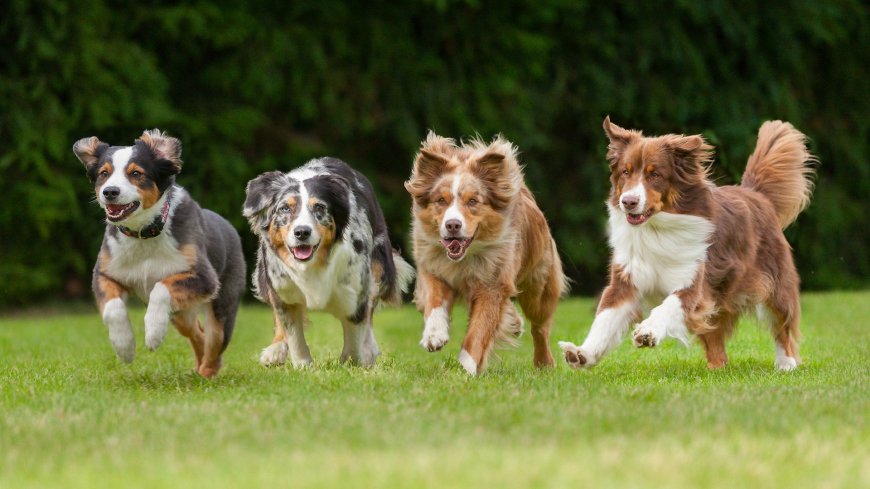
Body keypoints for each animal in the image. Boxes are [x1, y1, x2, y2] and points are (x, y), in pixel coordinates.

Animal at [73, 127, 247, 376]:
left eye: (136, 173)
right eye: (104, 173)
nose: (110, 192)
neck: (144, 234)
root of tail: (230, 227)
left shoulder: (204, 278)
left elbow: (160, 288)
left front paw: (153, 334)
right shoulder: (105, 273)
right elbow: (113, 308)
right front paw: (125, 347)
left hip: (223, 303)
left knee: (215, 342)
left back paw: (206, 373)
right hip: (181, 314)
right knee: (198, 332)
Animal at [242, 156, 412, 366]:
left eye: (320, 208)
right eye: (284, 208)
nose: (302, 232)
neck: (313, 264)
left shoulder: (356, 289)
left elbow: (356, 329)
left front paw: (353, 361)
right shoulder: (282, 287)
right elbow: (292, 332)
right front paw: (303, 365)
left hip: (380, 266)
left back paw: (368, 348)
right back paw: (275, 350)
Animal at [408, 132, 568, 374]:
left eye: (473, 201)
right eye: (441, 200)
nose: (452, 225)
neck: (466, 258)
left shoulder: (493, 281)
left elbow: (480, 328)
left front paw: (466, 368)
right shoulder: (432, 266)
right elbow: (434, 301)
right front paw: (434, 335)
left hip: (539, 284)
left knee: (540, 327)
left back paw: (544, 364)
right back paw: (515, 323)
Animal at [560, 117, 816, 370]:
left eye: (655, 174)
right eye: (625, 171)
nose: (628, 201)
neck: (655, 230)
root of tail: (757, 194)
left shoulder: (694, 278)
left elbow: (670, 305)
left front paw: (647, 331)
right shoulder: (626, 277)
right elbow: (605, 317)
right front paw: (582, 354)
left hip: (773, 280)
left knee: (781, 322)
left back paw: (786, 363)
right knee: (716, 338)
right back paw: (717, 367)